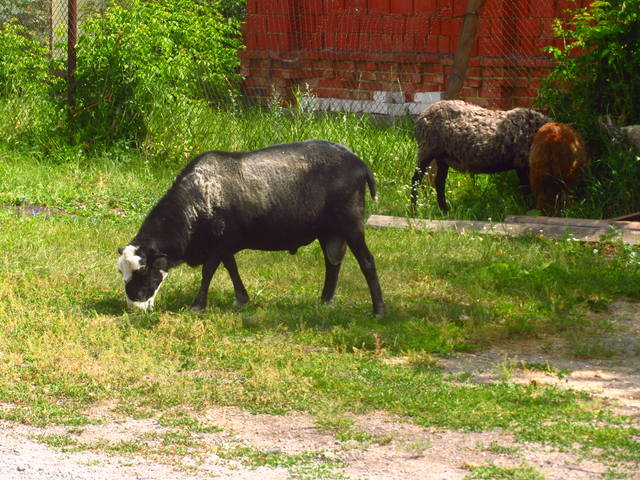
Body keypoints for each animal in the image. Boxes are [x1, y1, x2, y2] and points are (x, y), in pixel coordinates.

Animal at [116, 140, 384, 316]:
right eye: (121, 272)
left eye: (143, 270)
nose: (133, 306)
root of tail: (359, 164)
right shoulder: (225, 243)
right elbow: (231, 268)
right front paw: (241, 299)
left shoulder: (219, 243)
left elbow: (208, 272)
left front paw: (197, 305)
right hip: (329, 231)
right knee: (332, 263)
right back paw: (325, 301)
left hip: (351, 223)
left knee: (367, 262)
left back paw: (379, 309)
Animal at [412, 100, 552, 212]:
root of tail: (422, 115)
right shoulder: (522, 163)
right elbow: (527, 189)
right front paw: (529, 209)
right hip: (427, 149)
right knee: (416, 180)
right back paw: (414, 210)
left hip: (443, 157)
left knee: (439, 182)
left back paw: (444, 210)